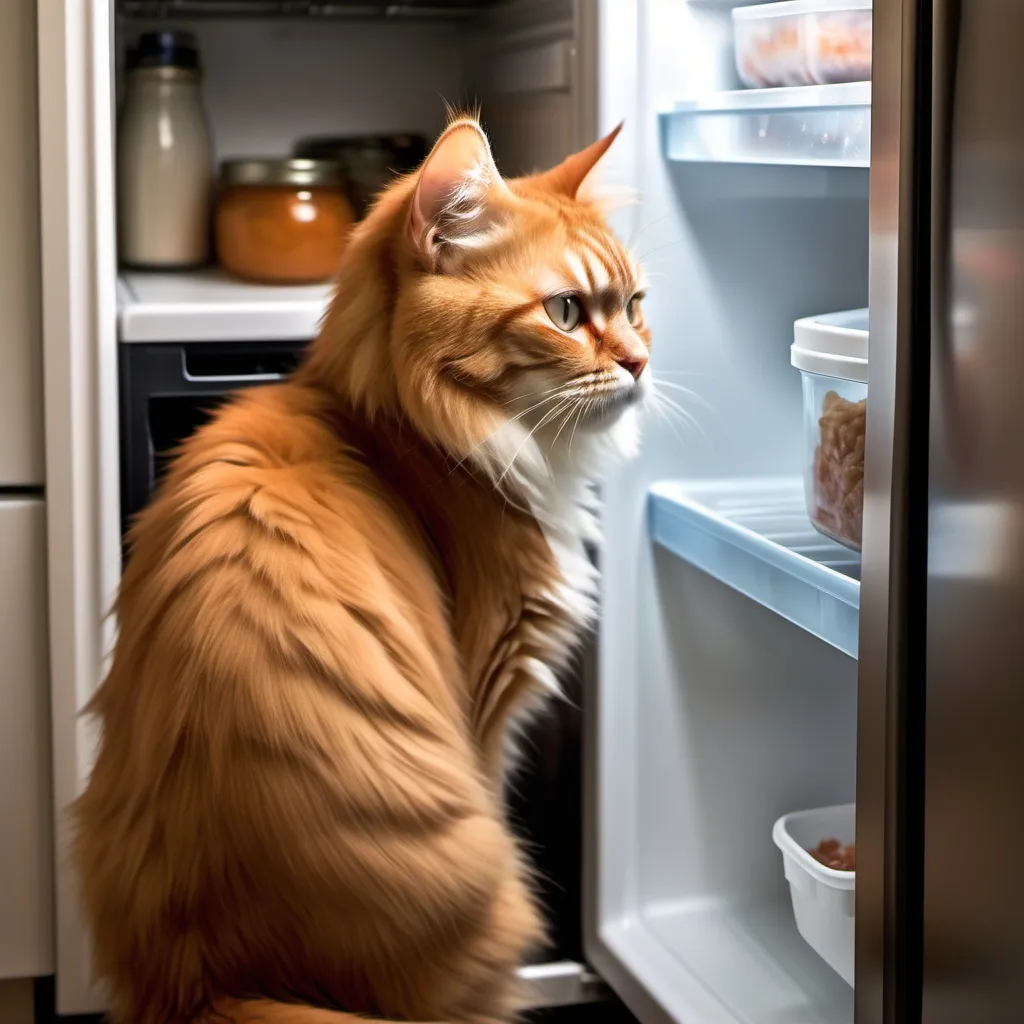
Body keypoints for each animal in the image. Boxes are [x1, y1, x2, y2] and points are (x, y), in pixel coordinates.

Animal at [74, 116, 647, 1024]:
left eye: (634, 307)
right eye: (565, 311)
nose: (640, 363)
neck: (401, 434)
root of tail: (206, 986)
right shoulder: (489, 692)